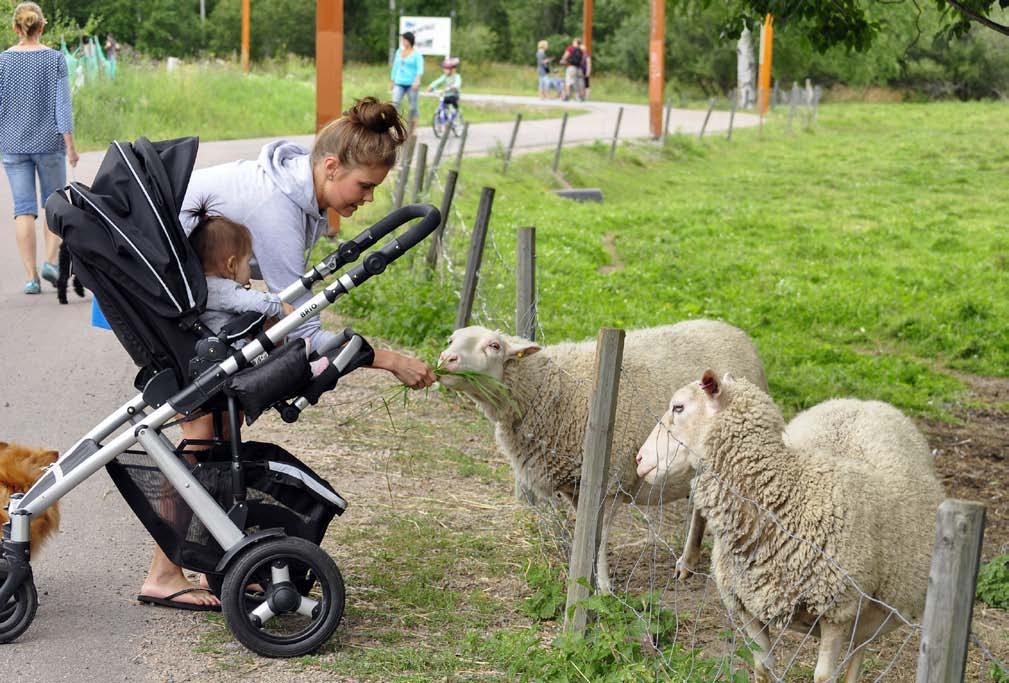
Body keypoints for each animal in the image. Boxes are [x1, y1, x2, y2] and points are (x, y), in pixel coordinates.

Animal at [437, 318, 766, 593]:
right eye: (451, 340)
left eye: (494, 345)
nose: (445, 359)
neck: (550, 390)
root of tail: (733, 330)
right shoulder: (576, 485)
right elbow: (586, 536)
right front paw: (582, 572)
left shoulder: (611, 481)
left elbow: (601, 537)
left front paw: (604, 587)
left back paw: (691, 562)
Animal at [637, 373, 944, 681]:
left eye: (678, 407)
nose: (639, 459)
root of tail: (862, 402)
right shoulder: (746, 606)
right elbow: (763, 667)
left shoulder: (837, 610)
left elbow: (823, 676)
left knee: (857, 654)